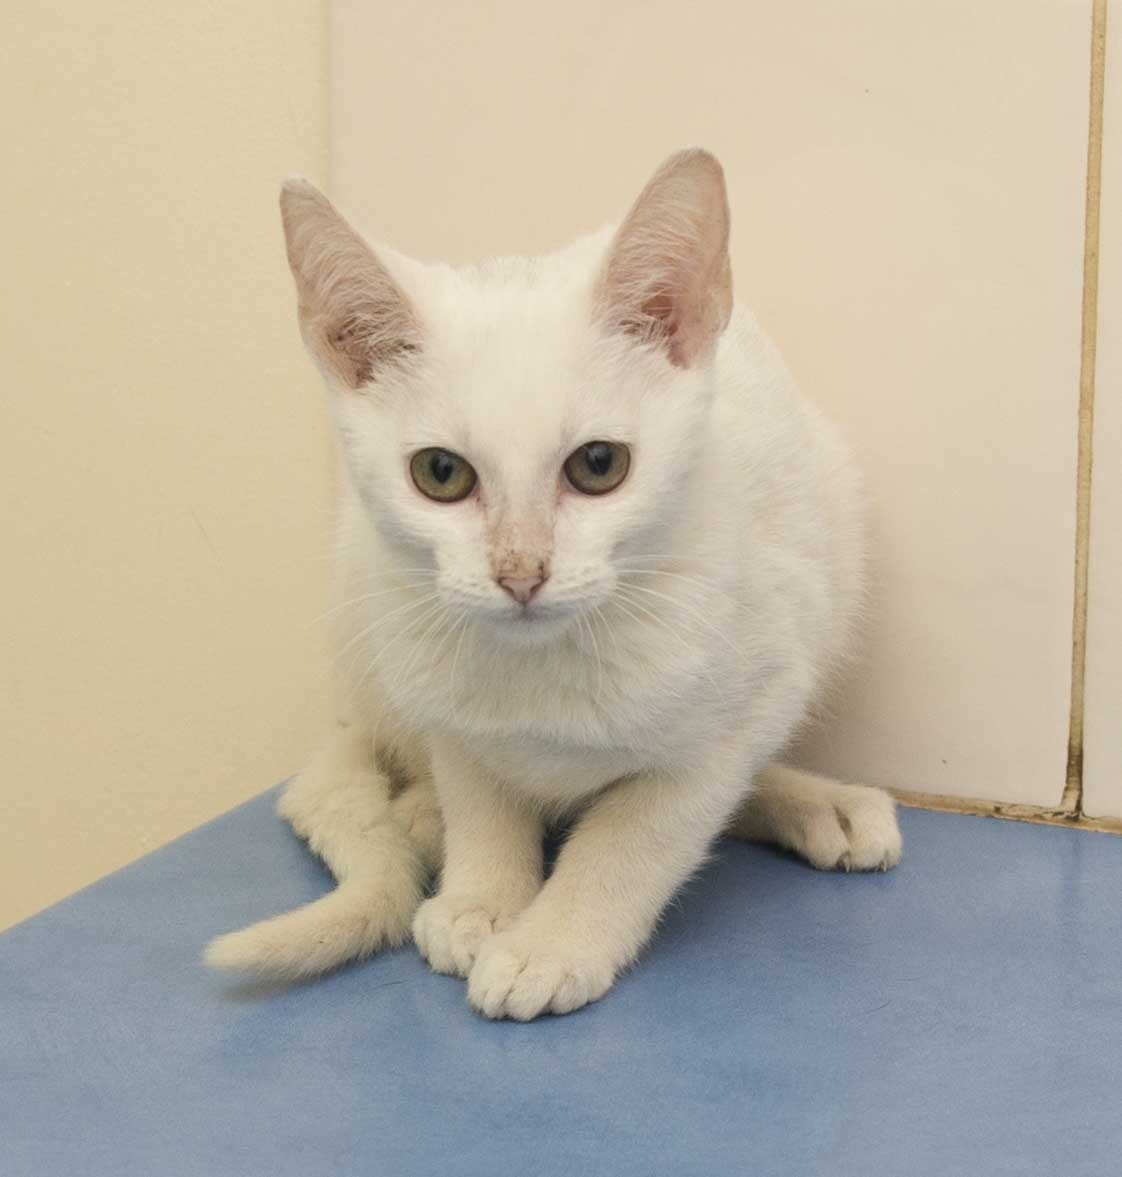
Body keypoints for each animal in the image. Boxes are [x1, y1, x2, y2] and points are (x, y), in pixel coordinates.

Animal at [205, 148, 902, 1020]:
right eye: (440, 473)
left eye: (598, 464)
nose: (519, 571)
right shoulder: (444, 701)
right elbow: (478, 789)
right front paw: (485, 896)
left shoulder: (749, 696)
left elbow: (640, 828)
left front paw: (554, 938)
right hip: (361, 590)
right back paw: (423, 814)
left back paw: (820, 803)